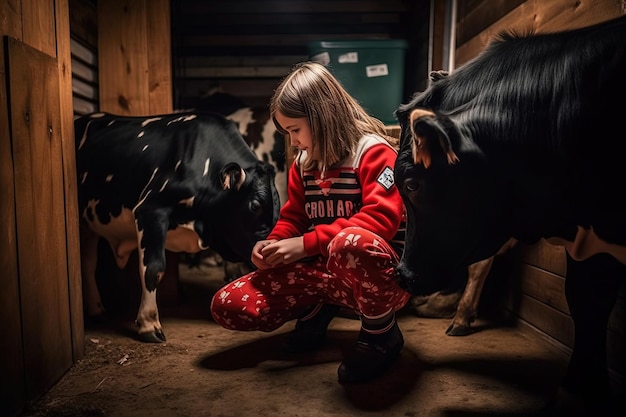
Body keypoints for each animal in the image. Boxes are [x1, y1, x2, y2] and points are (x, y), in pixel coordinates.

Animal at [74, 110, 280, 342]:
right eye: (255, 205)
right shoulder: (150, 210)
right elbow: (153, 268)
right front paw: (149, 323)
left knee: (88, 261)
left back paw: (96, 309)